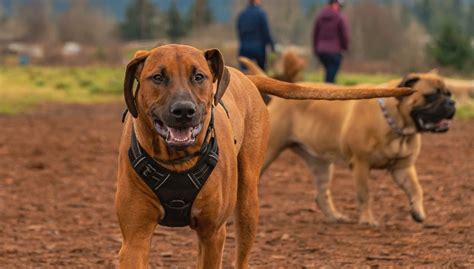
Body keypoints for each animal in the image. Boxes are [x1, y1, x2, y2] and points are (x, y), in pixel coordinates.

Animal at [115, 43, 414, 266]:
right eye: (158, 77)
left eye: (198, 76)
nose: (184, 110)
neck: (177, 162)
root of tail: (244, 77)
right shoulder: (135, 238)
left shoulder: (213, 234)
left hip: (248, 201)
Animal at [241, 57, 456, 225]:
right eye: (431, 96)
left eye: (448, 93)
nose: (451, 103)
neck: (398, 128)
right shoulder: (361, 164)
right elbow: (364, 194)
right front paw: (367, 220)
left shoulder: (403, 167)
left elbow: (416, 189)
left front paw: (418, 212)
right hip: (269, 152)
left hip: (321, 164)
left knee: (321, 194)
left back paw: (335, 217)